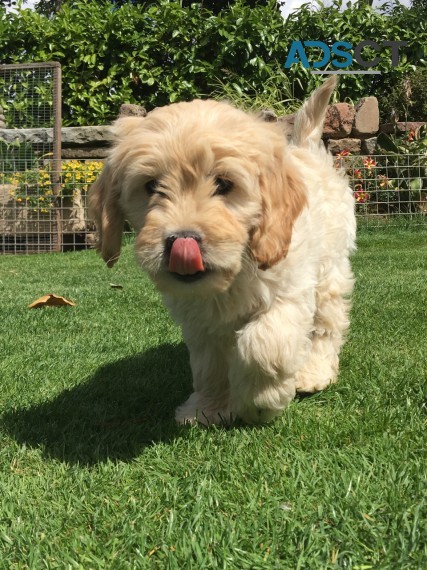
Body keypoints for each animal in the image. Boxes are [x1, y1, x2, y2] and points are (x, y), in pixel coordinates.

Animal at [88, 75, 356, 424]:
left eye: (224, 184)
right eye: (151, 186)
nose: (181, 240)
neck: (235, 271)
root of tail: (305, 149)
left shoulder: (289, 291)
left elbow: (262, 347)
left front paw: (258, 402)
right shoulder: (200, 320)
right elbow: (209, 364)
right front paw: (208, 407)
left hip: (329, 269)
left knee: (327, 324)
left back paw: (314, 372)